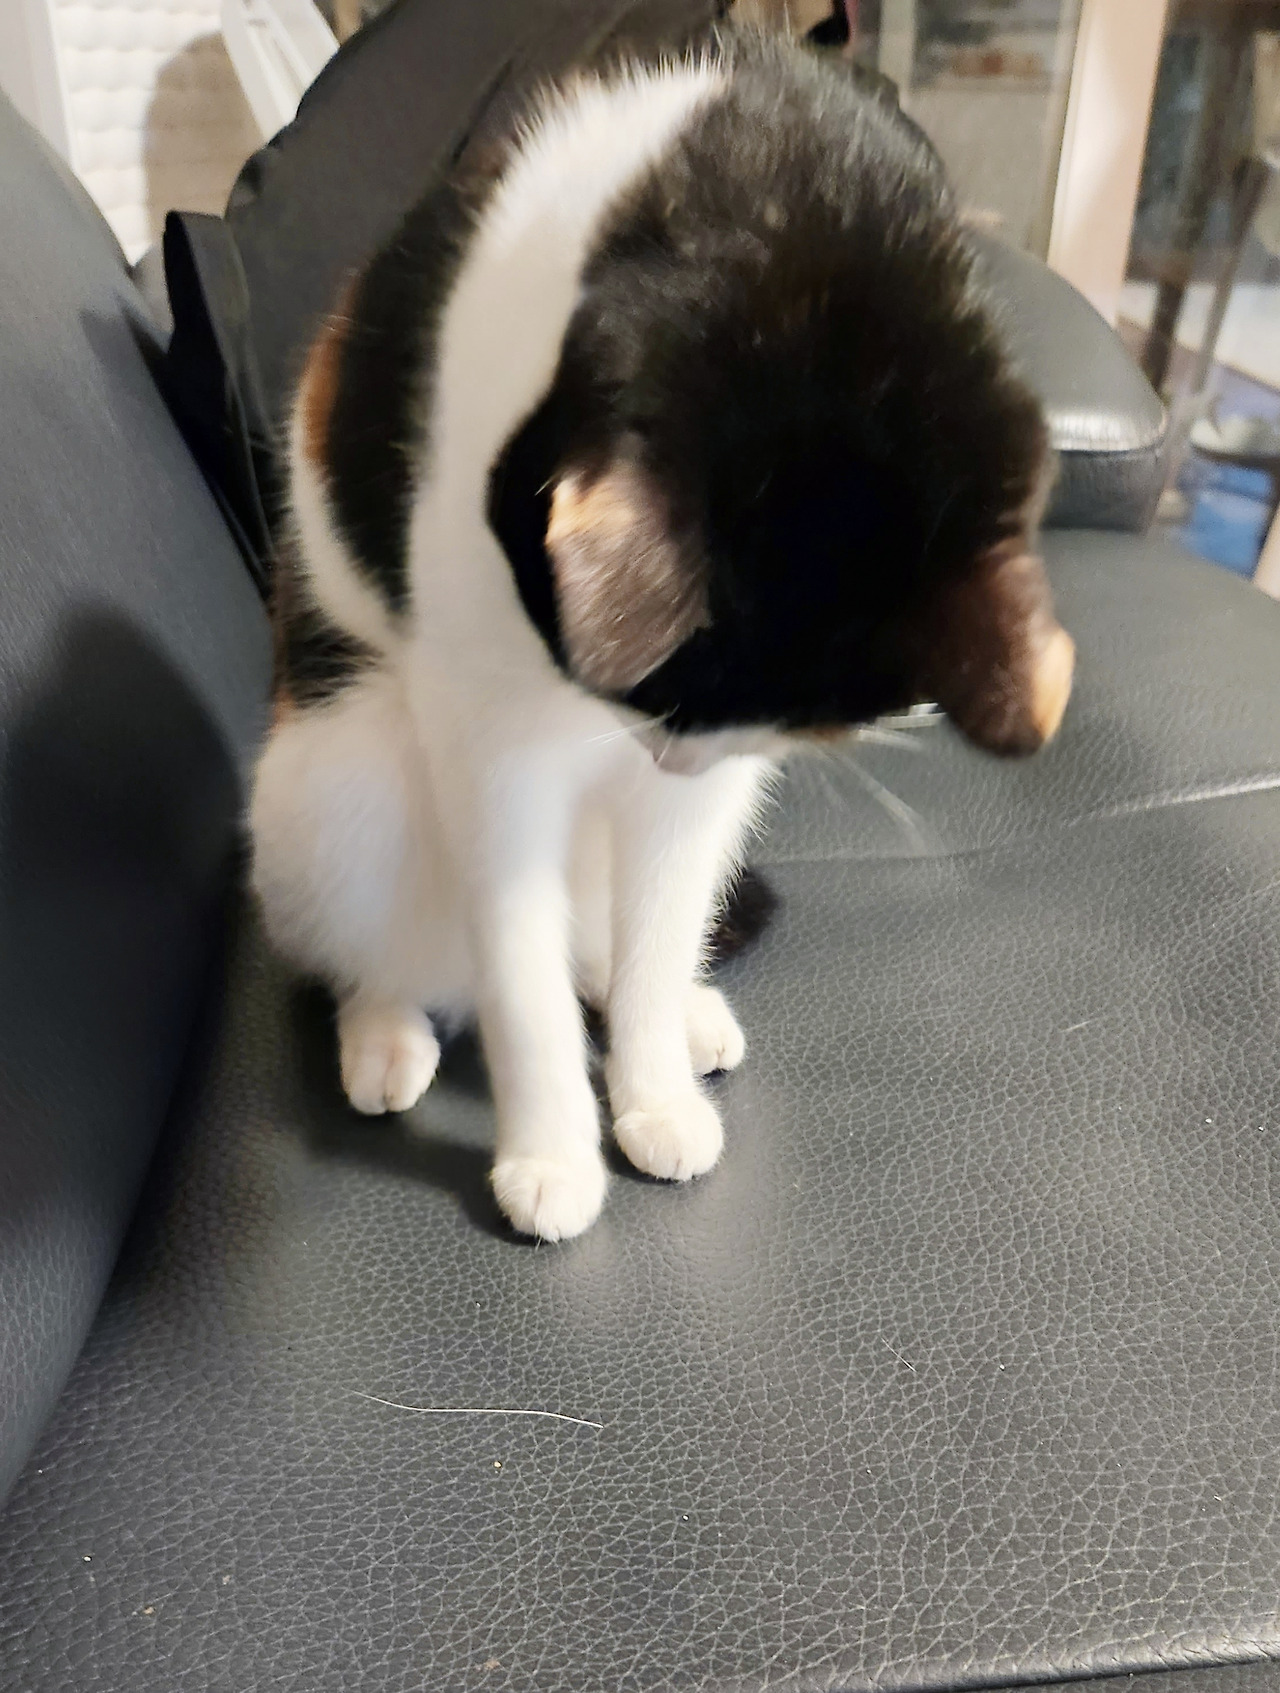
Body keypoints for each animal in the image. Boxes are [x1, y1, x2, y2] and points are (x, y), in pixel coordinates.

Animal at [249, 28, 1074, 1241]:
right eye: (641, 697)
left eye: (777, 726)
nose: (665, 760)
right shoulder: (490, 748)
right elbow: (523, 983)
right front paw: (551, 1150)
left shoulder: (710, 786)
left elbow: (653, 931)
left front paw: (650, 1085)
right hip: (338, 780)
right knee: (376, 946)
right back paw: (386, 1028)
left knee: (615, 939)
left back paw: (681, 1013)